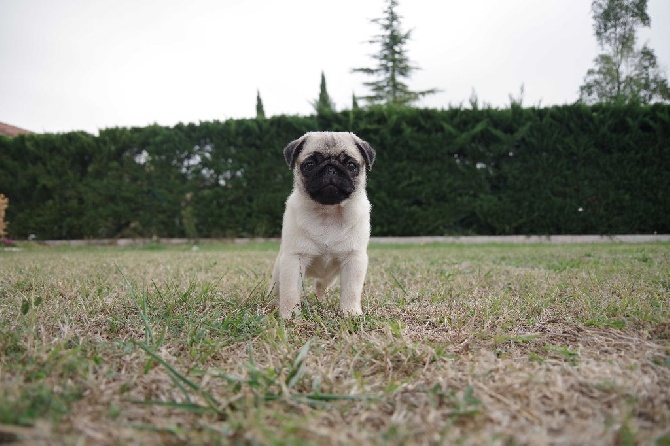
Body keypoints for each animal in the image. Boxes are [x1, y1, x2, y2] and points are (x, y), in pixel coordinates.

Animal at [272, 131, 378, 318]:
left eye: (351, 165)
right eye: (309, 165)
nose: (330, 168)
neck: (328, 212)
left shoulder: (354, 260)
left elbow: (351, 290)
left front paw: (350, 312)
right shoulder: (293, 260)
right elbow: (290, 291)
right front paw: (290, 315)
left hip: (329, 278)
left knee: (320, 285)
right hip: (279, 272)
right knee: (279, 289)